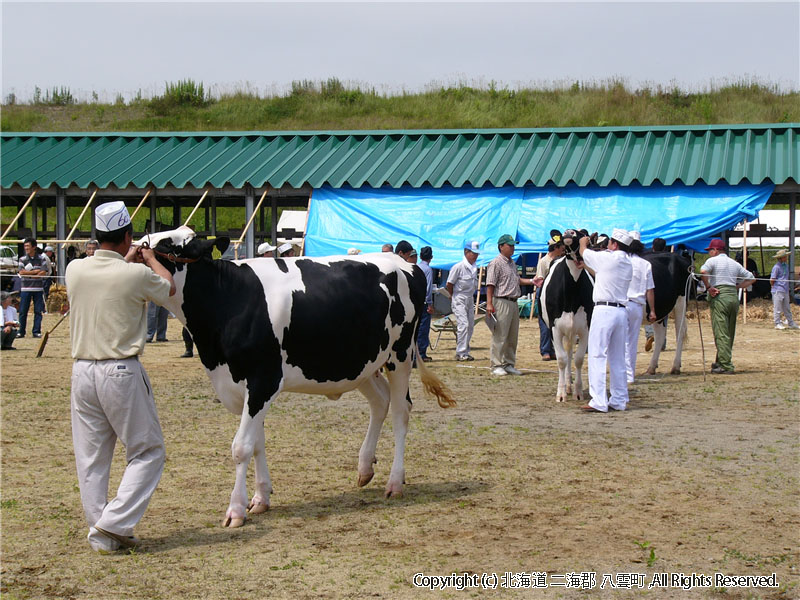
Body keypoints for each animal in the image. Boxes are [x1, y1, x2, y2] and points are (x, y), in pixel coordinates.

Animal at [145, 227, 456, 528]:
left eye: (167, 245)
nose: (137, 251)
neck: (230, 299)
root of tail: (404, 263)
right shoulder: (246, 389)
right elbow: (257, 442)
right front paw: (261, 498)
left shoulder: (263, 380)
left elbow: (242, 447)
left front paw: (235, 510)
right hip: (361, 363)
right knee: (381, 402)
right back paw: (365, 468)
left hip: (400, 355)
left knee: (401, 411)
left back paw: (394, 482)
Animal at [540, 230, 596, 404]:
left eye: (583, 235)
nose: (568, 232)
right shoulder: (554, 329)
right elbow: (561, 359)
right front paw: (561, 393)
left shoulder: (586, 328)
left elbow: (578, 359)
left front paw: (578, 391)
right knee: (566, 355)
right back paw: (566, 385)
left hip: (573, 330)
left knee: (571, 353)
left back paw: (570, 385)